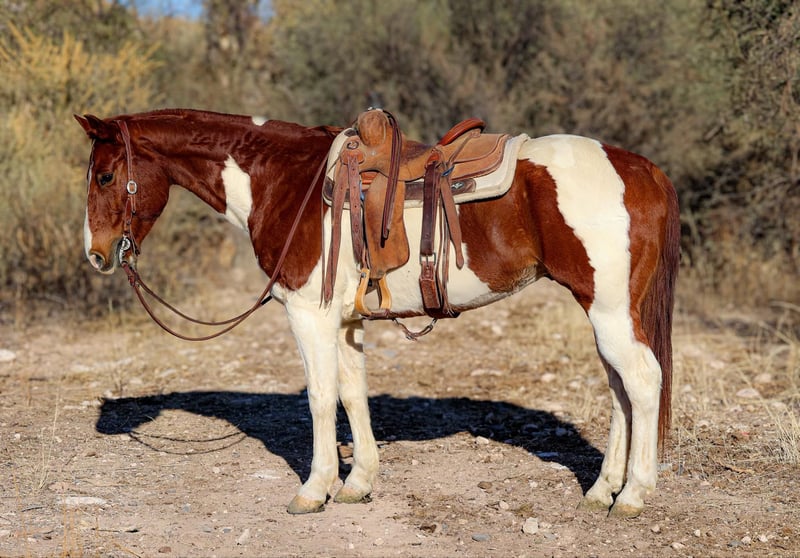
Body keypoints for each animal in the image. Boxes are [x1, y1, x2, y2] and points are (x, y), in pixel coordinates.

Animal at [76, 108, 679, 518]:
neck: (286, 179)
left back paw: (634, 495)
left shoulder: (309, 315)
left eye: (104, 176)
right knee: (621, 390)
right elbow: (352, 394)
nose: (97, 254)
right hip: (608, 313)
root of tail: (643, 170)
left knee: (642, 381)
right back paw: (602, 490)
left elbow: (321, 400)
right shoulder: (345, 321)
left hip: (609, 311)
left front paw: (313, 490)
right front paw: (358, 482)